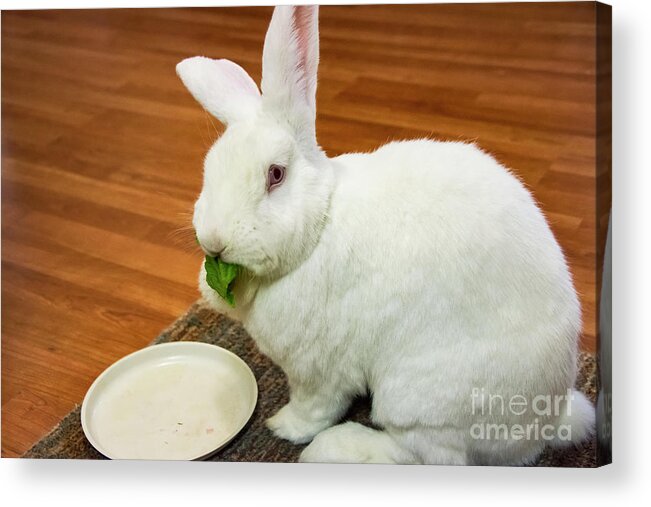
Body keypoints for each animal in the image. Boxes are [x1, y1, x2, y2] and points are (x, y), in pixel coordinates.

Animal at [178, 5, 596, 464]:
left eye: (275, 175)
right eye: (208, 169)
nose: (214, 240)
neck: (321, 223)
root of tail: (543, 424)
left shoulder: (317, 368)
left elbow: (315, 407)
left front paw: (283, 427)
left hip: (418, 397)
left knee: (427, 454)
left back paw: (335, 448)